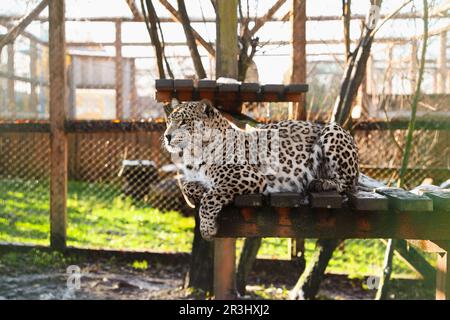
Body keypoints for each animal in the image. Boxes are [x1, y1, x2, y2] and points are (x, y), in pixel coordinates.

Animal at [163, 99, 360, 239]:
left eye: (183, 122)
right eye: (169, 121)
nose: (166, 136)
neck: (192, 154)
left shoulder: (249, 176)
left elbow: (211, 197)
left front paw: (207, 228)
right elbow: (187, 186)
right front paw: (198, 190)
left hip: (333, 131)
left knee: (349, 182)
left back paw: (322, 183)